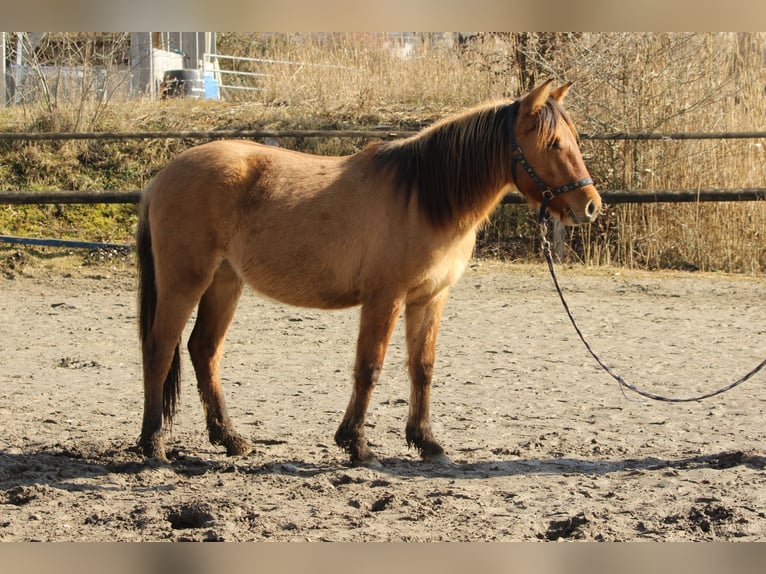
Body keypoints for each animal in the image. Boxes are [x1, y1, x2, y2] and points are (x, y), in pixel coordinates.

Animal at [138, 80, 608, 468]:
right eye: (553, 143)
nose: (589, 206)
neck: (425, 198)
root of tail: (163, 176)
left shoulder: (429, 298)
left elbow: (422, 367)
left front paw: (427, 443)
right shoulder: (385, 298)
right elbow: (370, 367)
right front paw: (357, 445)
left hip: (224, 282)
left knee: (204, 351)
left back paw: (230, 439)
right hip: (185, 281)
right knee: (160, 348)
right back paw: (153, 444)